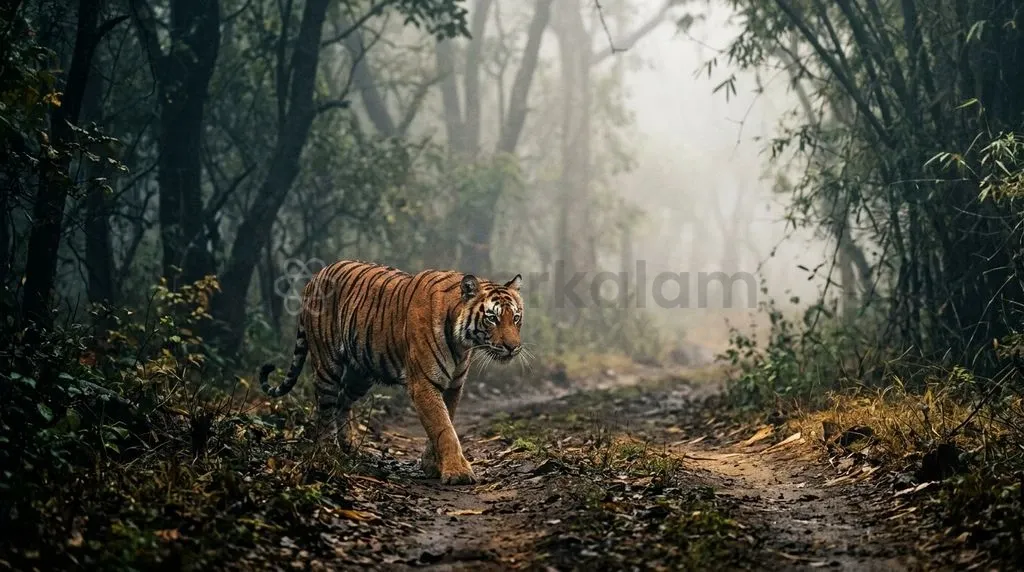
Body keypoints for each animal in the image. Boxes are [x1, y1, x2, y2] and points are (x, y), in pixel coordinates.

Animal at [258, 260, 524, 485]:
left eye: (516, 318)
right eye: (492, 318)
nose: (513, 347)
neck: (462, 343)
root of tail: (314, 277)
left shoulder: (453, 386)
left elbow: (444, 422)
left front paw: (431, 465)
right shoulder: (423, 384)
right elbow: (443, 428)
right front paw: (457, 472)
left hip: (360, 375)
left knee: (342, 401)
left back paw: (348, 445)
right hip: (327, 365)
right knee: (324, 409)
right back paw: (328, 451)